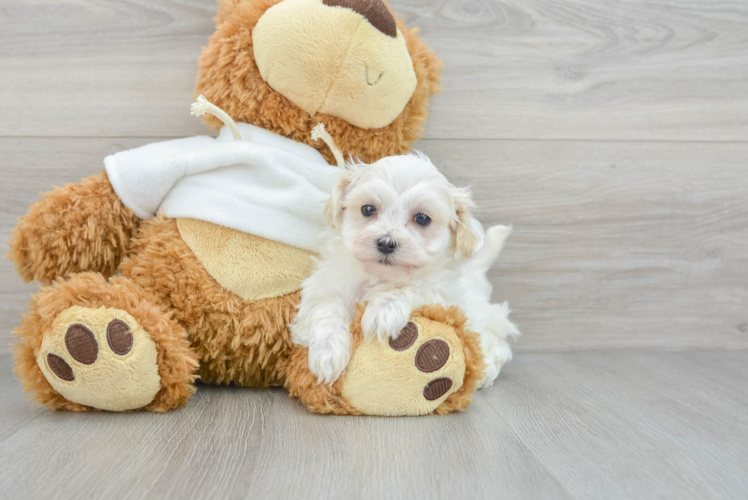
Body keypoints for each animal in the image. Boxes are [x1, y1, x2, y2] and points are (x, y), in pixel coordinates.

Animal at [290, 152, 516, 386]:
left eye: (422, 218)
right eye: (368, 209)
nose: (386, 243)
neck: (379, 277)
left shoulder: (443, 295)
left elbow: (412, 287)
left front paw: (382, 311)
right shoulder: (324, 286)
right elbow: (327, 308)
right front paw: (328, 353)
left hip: (484, 317)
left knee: (496, 341)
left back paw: (486, 369)